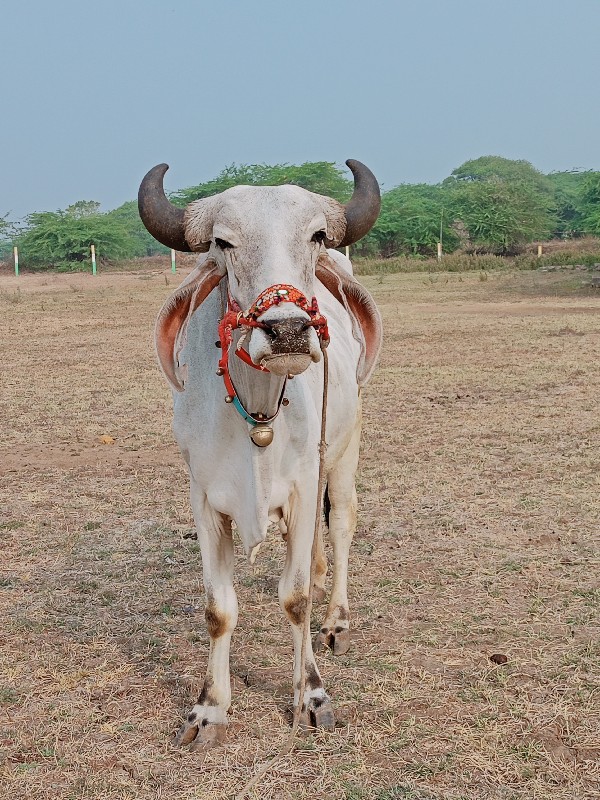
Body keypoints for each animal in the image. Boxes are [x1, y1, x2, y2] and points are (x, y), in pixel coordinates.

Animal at [138, 159, 382, 748]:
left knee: (341, 523)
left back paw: (337, 618)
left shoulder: (301, 490)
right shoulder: (205, 501)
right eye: (223, 243)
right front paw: (209, 709)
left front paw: (311, 696)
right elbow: (218, 609)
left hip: (345, 452)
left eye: (316, 236)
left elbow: (294, 599)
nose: (289, 329)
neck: (258, 412)